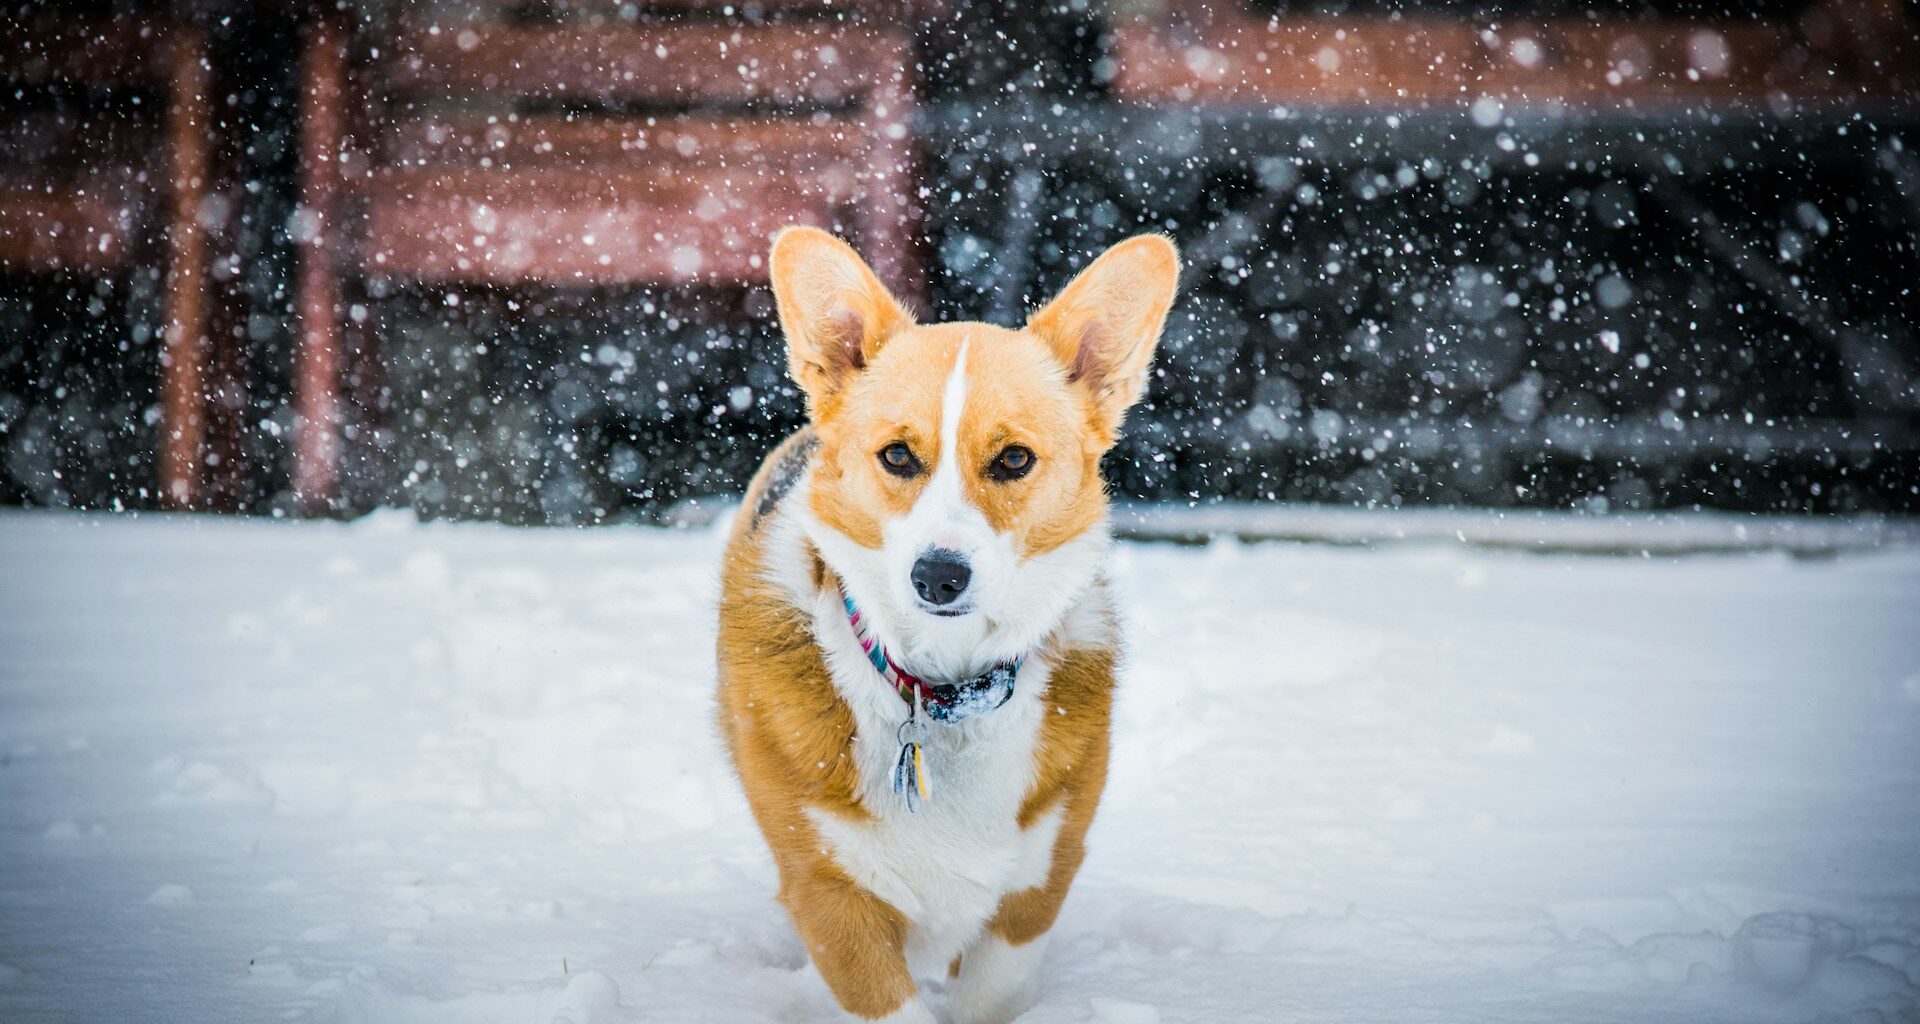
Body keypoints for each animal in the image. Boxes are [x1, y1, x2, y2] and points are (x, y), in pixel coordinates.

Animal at [714, 225, 1175, 1022]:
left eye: (1014, 458)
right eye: (898, 455)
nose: (938, 576)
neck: (942, 684)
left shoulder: (1035, 885)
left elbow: (989, 993)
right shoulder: (830, 894)